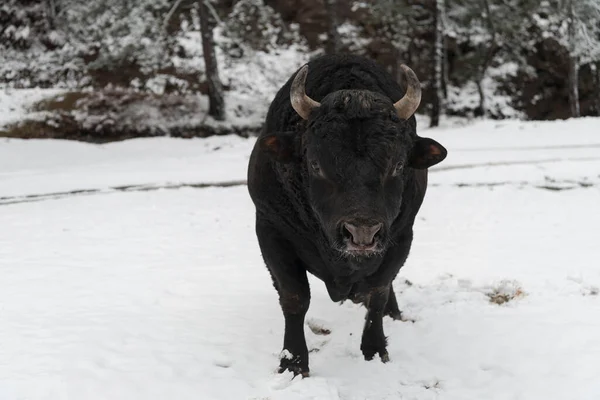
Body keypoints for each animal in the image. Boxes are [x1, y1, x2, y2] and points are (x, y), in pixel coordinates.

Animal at [246, 54, 448, 376]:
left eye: (398, 164)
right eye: (315, 164)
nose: (362, 232)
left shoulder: (401, 237)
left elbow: (378, 292)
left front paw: (375, 349)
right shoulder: (271, 231)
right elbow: (295, 298)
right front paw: (293, 362)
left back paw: (394, 313)